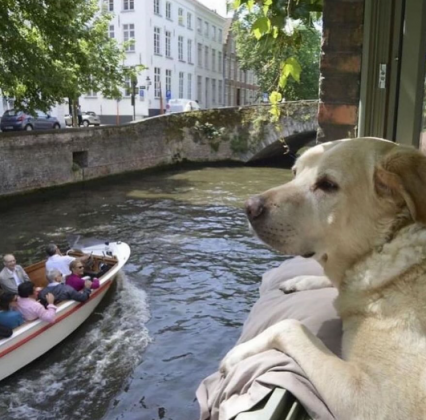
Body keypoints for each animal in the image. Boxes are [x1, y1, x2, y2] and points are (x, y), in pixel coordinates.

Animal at [221, 138, 426, 420]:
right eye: (294, 172)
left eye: (328, 185)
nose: (249, 207)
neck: (387, 242)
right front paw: (302, 281)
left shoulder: (374, 399)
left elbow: (291, 326)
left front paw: (237, 353)